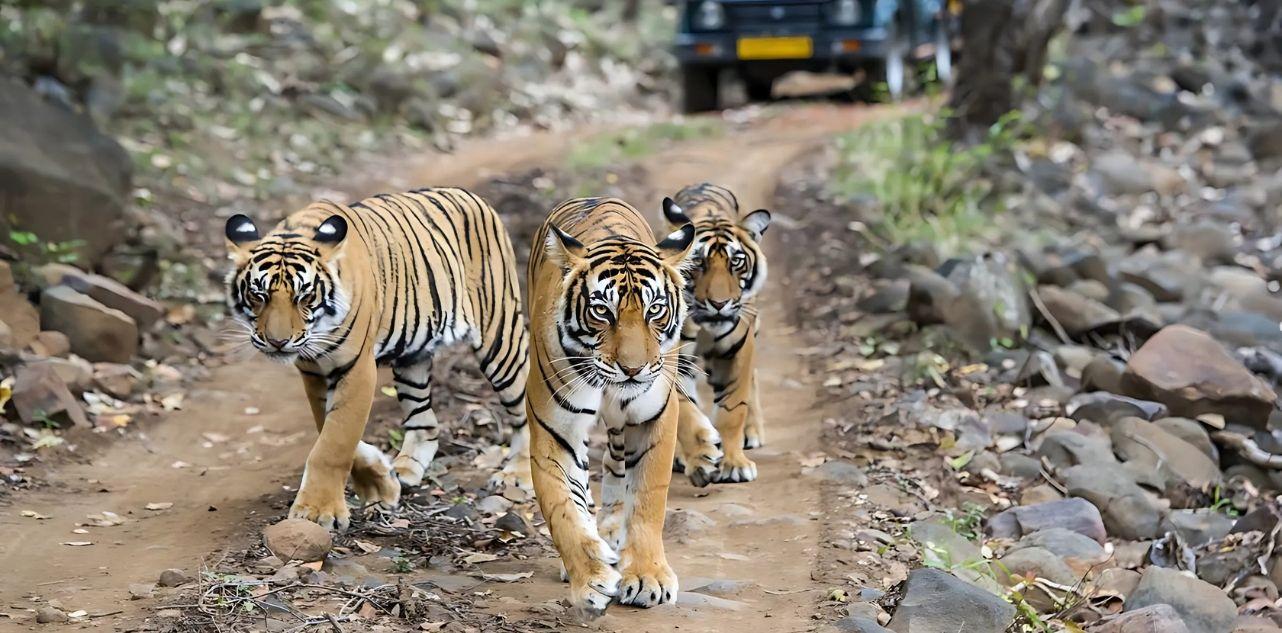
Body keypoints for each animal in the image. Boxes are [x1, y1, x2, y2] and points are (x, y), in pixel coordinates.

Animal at [223, 187, 531, 531]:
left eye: (305, 296)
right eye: (257, 295)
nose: (278, 342)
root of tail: (473, 196)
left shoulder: (356, 368)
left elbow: (335, 442)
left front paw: (318, 511)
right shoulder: (314, 372)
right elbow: (329, 429)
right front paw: (381, 484)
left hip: (501, 338)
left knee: (525, 408)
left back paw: (518, 474)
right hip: (413, 357)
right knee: (425, 421)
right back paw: (406, 470)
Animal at [525, 197, 695, 615]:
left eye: (655, 310)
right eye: (603, 311)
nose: (632, 369)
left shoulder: (654, 418)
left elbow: (648, 499)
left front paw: (648, 577)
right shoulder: (555, 431)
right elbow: (563, 509)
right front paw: (590, 578)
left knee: (617, 462)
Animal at [662, 183, 771, 484]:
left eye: (736, 262)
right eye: (699, 263)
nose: (719, 304)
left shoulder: (737, 350)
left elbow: (732, 409)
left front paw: (734, 464)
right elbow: (684, 410)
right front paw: (701, 458)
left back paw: (752, 432)